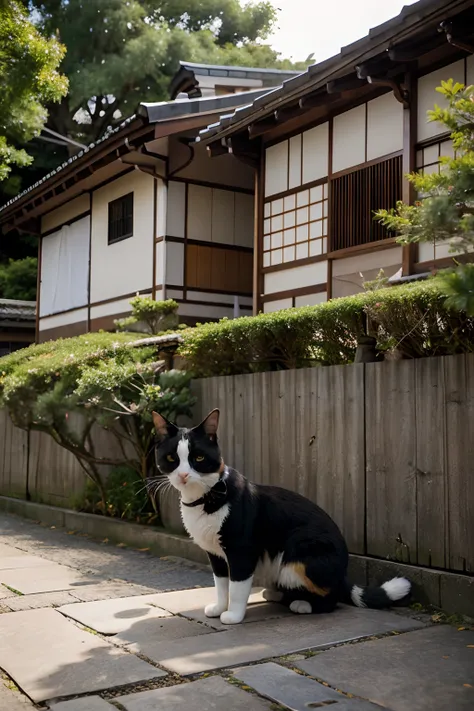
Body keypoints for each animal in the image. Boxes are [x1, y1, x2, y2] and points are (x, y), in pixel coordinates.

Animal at [153, 408, 412, 624]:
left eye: (198, 458)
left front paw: (233, 615)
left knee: (331, 596)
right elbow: (221, 584)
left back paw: (303, 605)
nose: (183, 475)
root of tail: (343, 572)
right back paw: (276, 594)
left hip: (298, 556)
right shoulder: (215, 553)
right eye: (171, 458)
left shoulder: (242, 550)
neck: (205, 497)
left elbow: (237, 586)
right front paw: (218, 608)